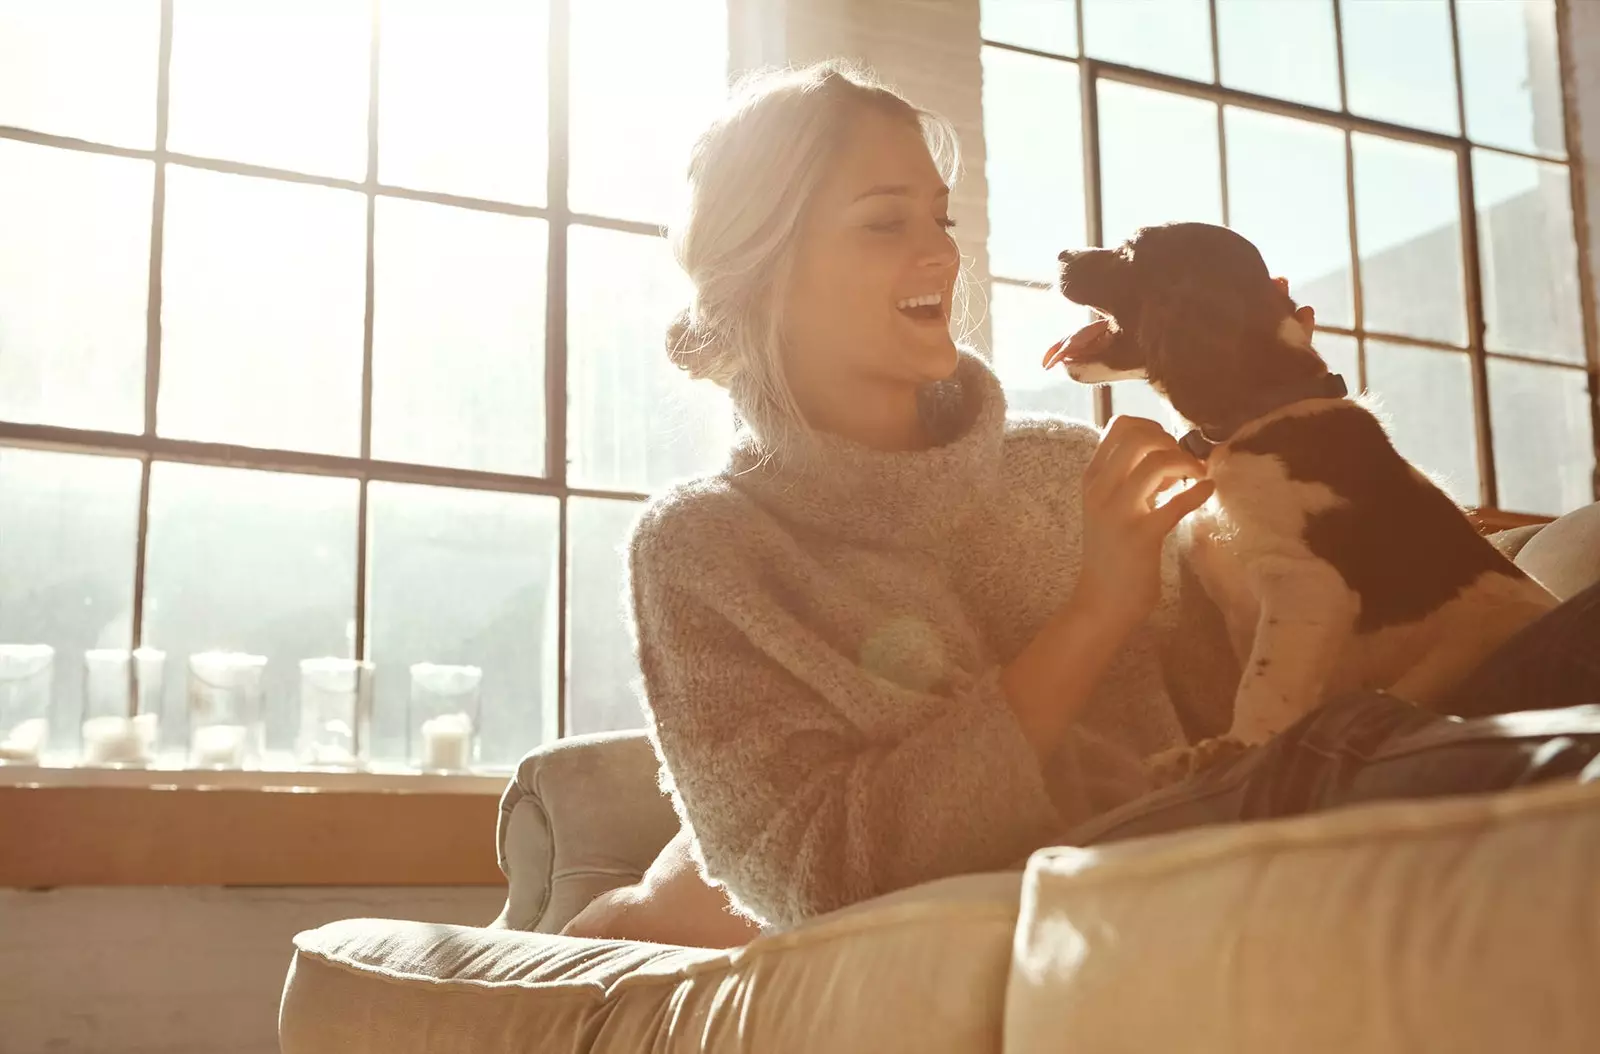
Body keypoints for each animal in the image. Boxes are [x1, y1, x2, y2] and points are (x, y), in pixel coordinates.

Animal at [1043, 220, 1555, 774]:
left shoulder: (1306, 582)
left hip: (1466, 644)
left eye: (1130, 251)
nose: (1061, 253)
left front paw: (1237, 747)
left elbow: (1265, 681)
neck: (1254, 416)